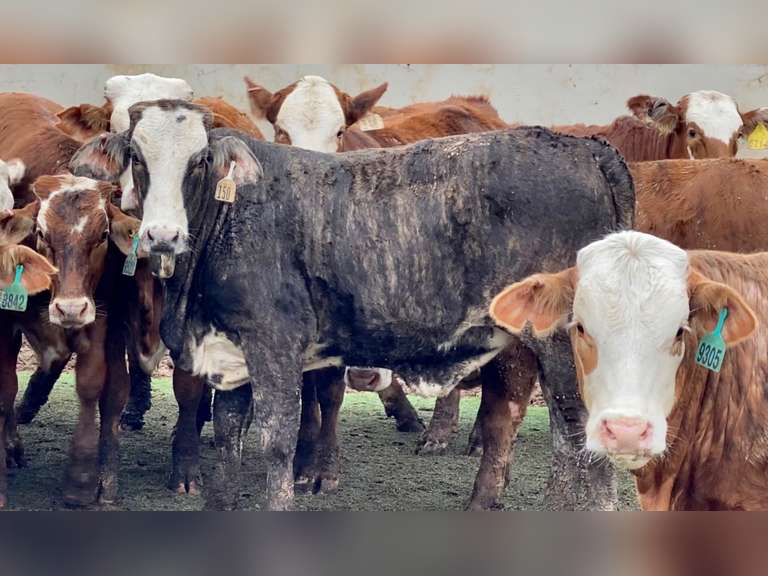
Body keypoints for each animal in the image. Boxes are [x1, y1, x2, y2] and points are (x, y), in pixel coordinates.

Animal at [70, 100, 634, 511]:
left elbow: (276, 442)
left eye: (200, 161)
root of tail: (582, 146)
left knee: (581, 440)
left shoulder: (275, 346)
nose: (162, 235)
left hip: (561, 345)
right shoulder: (230, 355)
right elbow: (228, 437)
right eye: (136, 157)